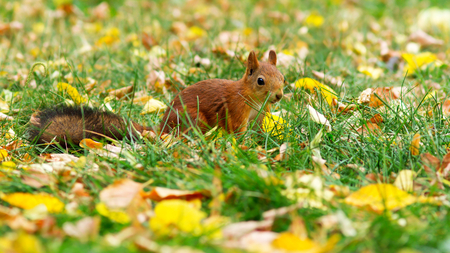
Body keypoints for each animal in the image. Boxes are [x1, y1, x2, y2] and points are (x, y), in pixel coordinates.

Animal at [29, 50, 284, 145]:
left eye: (283, 77)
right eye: (260, 81)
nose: (279, 96)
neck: (254, 100)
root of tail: (162, 129)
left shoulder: (259, 115)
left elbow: (259, 129)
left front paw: (264, 140)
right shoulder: (237, 110)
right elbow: (237, 129)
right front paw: (245, 145)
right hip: (192, 118)